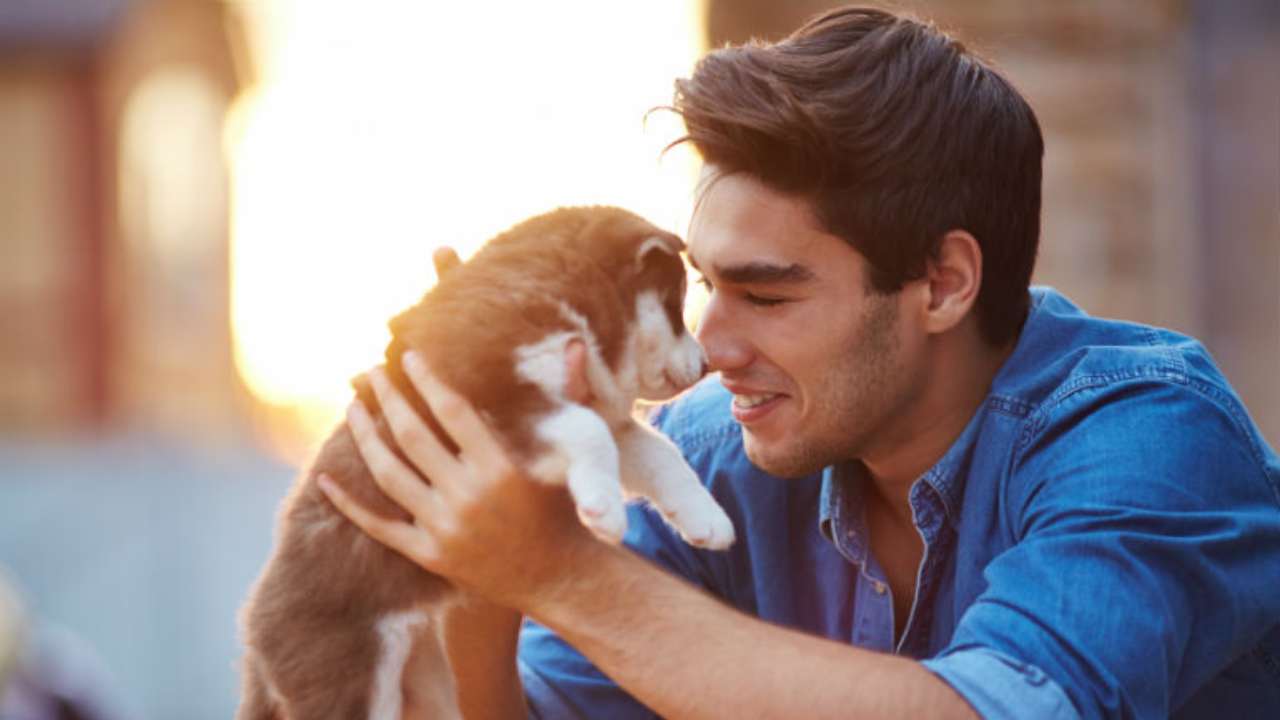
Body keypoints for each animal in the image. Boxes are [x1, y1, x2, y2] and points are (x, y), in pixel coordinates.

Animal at [236, 203, 737, 717]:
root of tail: (254, 638)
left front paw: (707, 517)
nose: (706, 364)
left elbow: (659, 452)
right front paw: (604, 510)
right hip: (348, 676)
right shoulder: (494, 396)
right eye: (675, 306)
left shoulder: (592, 408)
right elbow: (588, 431)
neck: (556, 296)